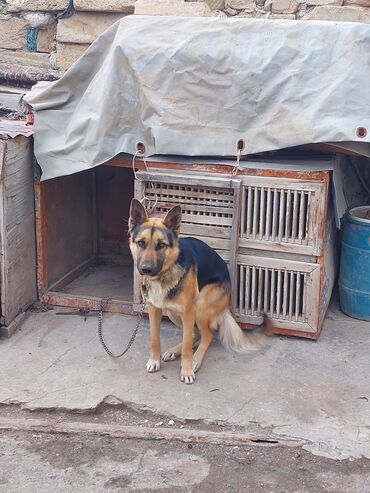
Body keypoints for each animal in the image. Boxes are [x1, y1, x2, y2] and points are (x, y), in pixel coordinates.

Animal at [129, 198, 270, 382]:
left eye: (161, 245)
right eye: (141, 243)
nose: (146, 269)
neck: (164, 275)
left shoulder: (189, 311)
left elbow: (188, 346)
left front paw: (187, 370)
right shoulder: (154, 309)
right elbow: (154, 338)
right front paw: (154, 360)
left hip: (200, 308)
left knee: (206, 336)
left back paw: (196, 359)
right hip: (173, 312)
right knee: (195, 334)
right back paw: (175, 351)